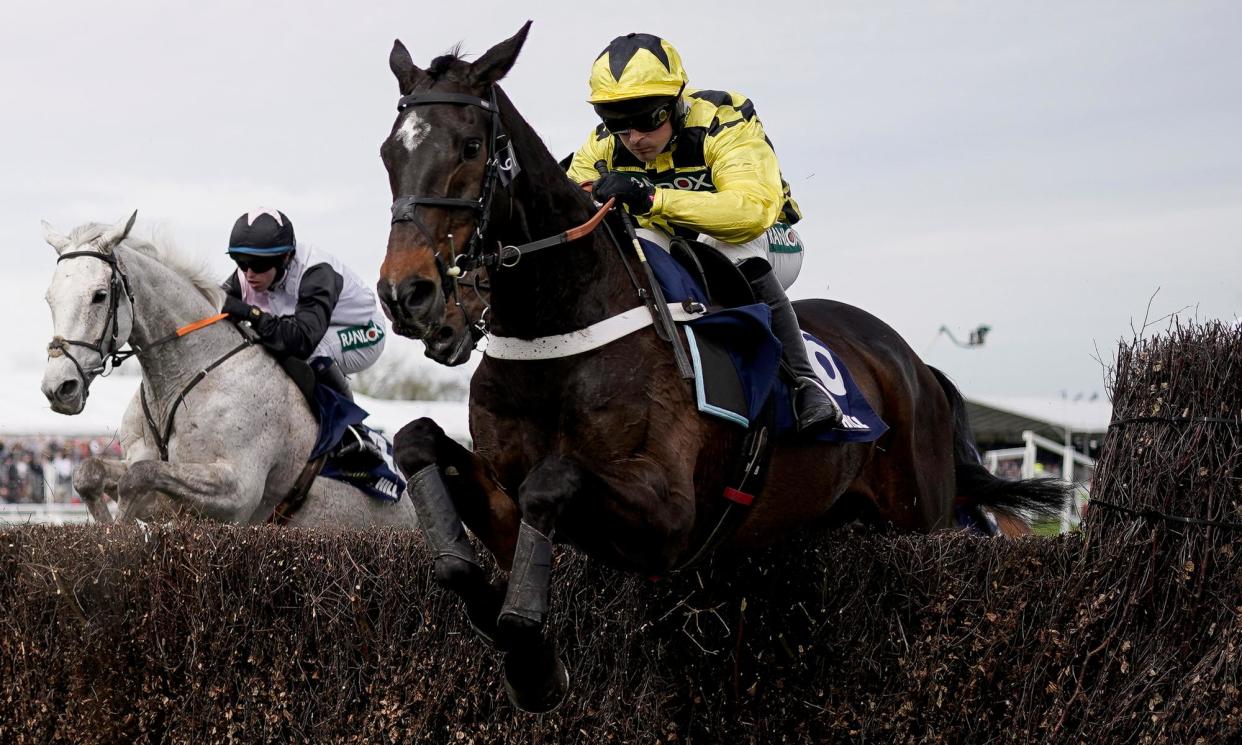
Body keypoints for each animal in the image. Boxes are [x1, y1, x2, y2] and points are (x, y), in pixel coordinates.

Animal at [40, 212, 417, 526]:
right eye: (49, 298)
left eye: (99, 295)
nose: (59, 388)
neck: (177, 382)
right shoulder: (146, 467)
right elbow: (90, 473)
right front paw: (108, 530)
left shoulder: (236, 491)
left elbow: (139, 477)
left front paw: (119, 535)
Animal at [372, 23, 1063, 710]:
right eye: (387, 154)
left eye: (469, 146)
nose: (408, 294)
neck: (561, 333)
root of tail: (919, 368)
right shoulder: (508, 501)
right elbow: (418, 448)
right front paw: (514, 641)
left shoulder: (670, 518)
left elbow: (552, 481)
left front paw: (533, 664)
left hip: (923, 516)